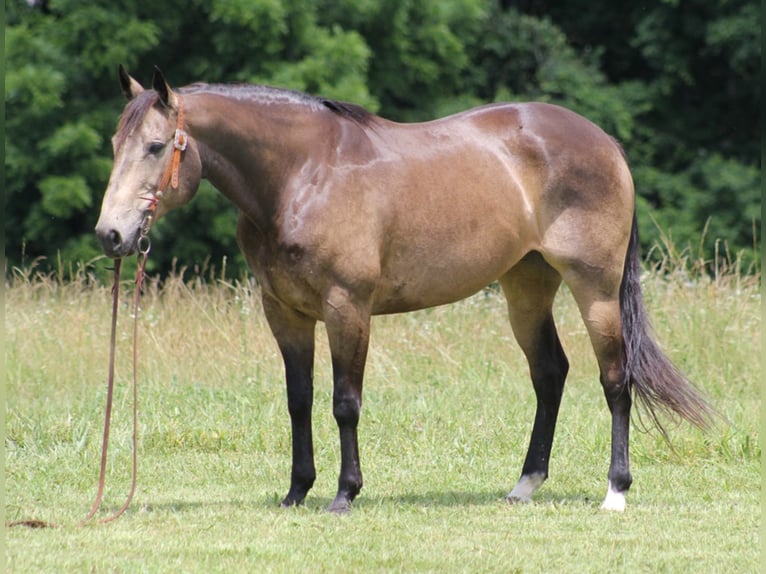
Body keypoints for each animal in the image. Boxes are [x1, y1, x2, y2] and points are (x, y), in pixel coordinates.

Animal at [96, 66, 712, 512]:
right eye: (114, 143)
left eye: (155, 147)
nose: (112, 234)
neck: (301, 176)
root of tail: (602, 139)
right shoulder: (285, 313)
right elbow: (299, 401)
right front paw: (296, 492)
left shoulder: (347, 308)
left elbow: (345, 403)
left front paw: (344, 494)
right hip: (526, 285)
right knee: (550, 373)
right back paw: (524, 485)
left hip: (596, 289)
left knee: (615, 378)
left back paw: (615, 491)